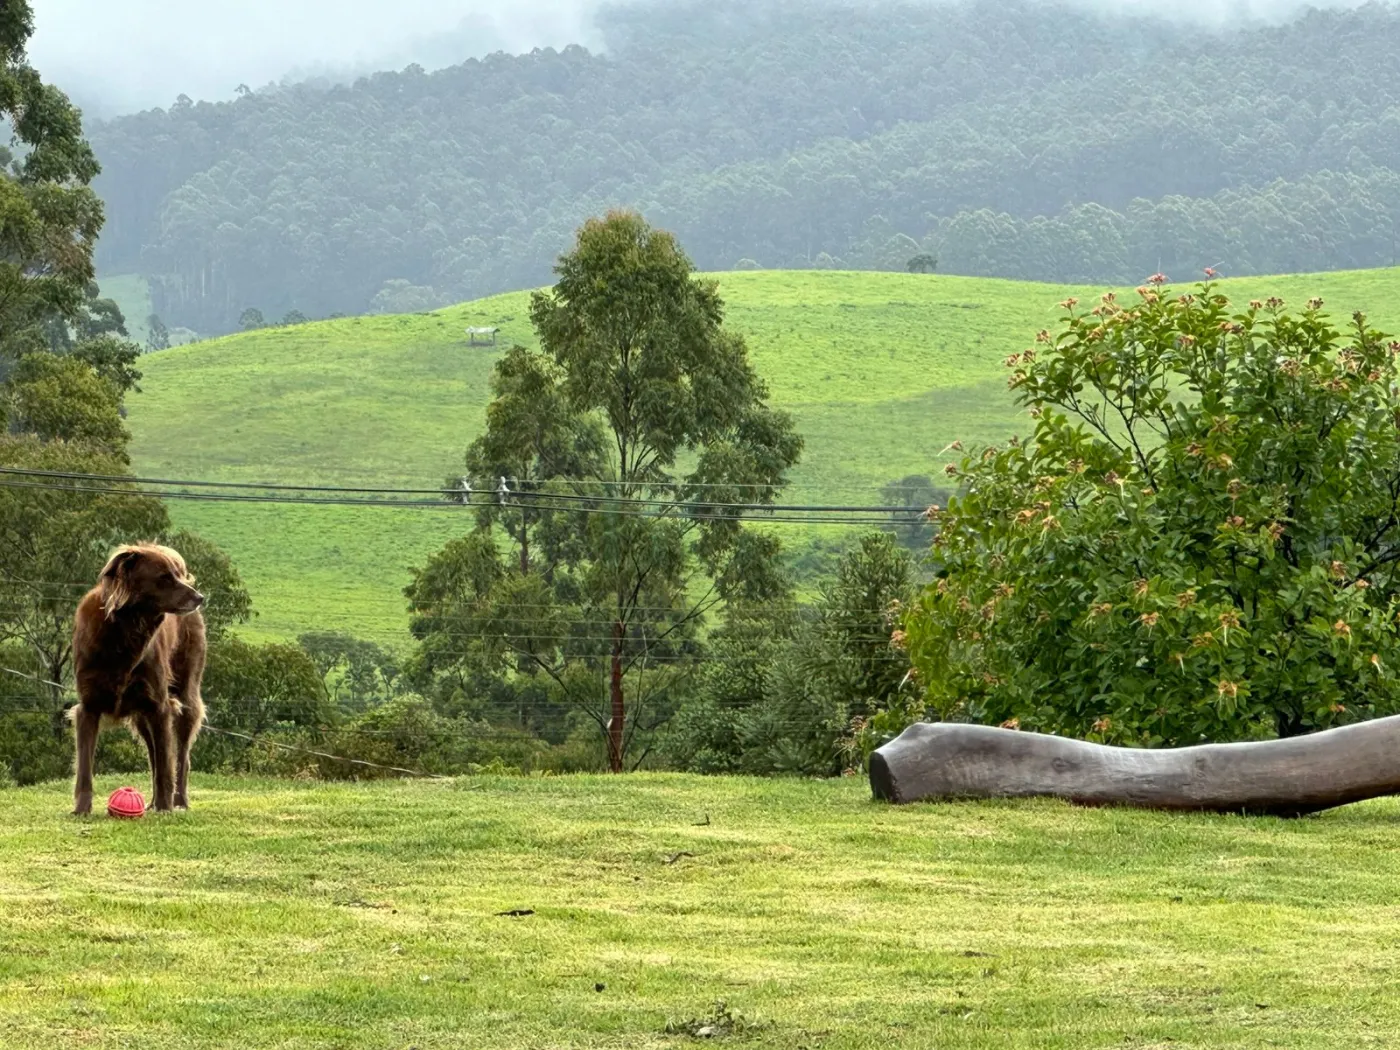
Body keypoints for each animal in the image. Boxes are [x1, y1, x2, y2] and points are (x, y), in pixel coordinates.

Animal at [70, 546, 207, 817]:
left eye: (177, 575)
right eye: (164, 577)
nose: (199, 598)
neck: (123, 631)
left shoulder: (160, 705)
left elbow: (166, 766)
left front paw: (165, 809)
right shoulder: (88, 707)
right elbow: (84, 769)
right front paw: (81, 810)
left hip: (185, 696)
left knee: (181, 756)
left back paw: (178, 801)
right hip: (141, 715)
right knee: (154, 754)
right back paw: (153, 803)